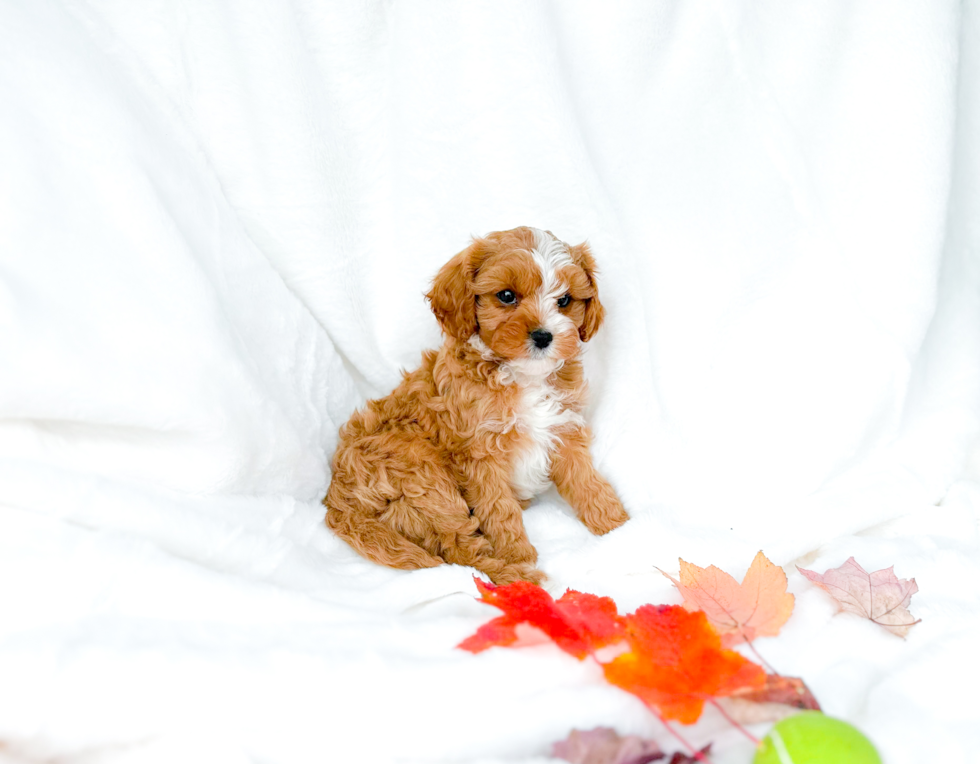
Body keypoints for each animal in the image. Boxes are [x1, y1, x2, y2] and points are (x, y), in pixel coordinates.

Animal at [322, 224, 628, 580]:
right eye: (506, 296)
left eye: (564, 300)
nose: (543, 336)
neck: (523, 376)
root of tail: (337, 497)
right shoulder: (480, 453)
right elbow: (499, 510)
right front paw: (518, 555)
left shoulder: (563, 428)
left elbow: (585, 480)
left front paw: (618, 527)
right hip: (425, 477)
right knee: (458, 548)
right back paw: (518, 577)